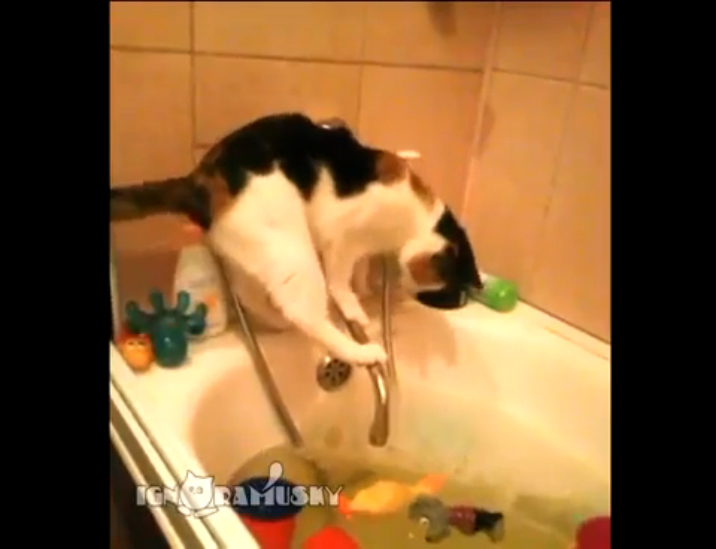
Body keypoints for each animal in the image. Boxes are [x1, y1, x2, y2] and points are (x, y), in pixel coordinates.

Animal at [110, 113, 482, 366]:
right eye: (442, 289)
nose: (421, 296)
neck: (414, 216)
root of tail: (197, 180)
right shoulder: (342, 235)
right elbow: (340, 279)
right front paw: (355, 306)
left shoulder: (362, 247)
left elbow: (360, 268)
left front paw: (364, 287)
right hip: (291, 246)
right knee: (305, 312)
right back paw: (361, 351)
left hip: (258, 251)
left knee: (258, 296)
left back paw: (278, 324)